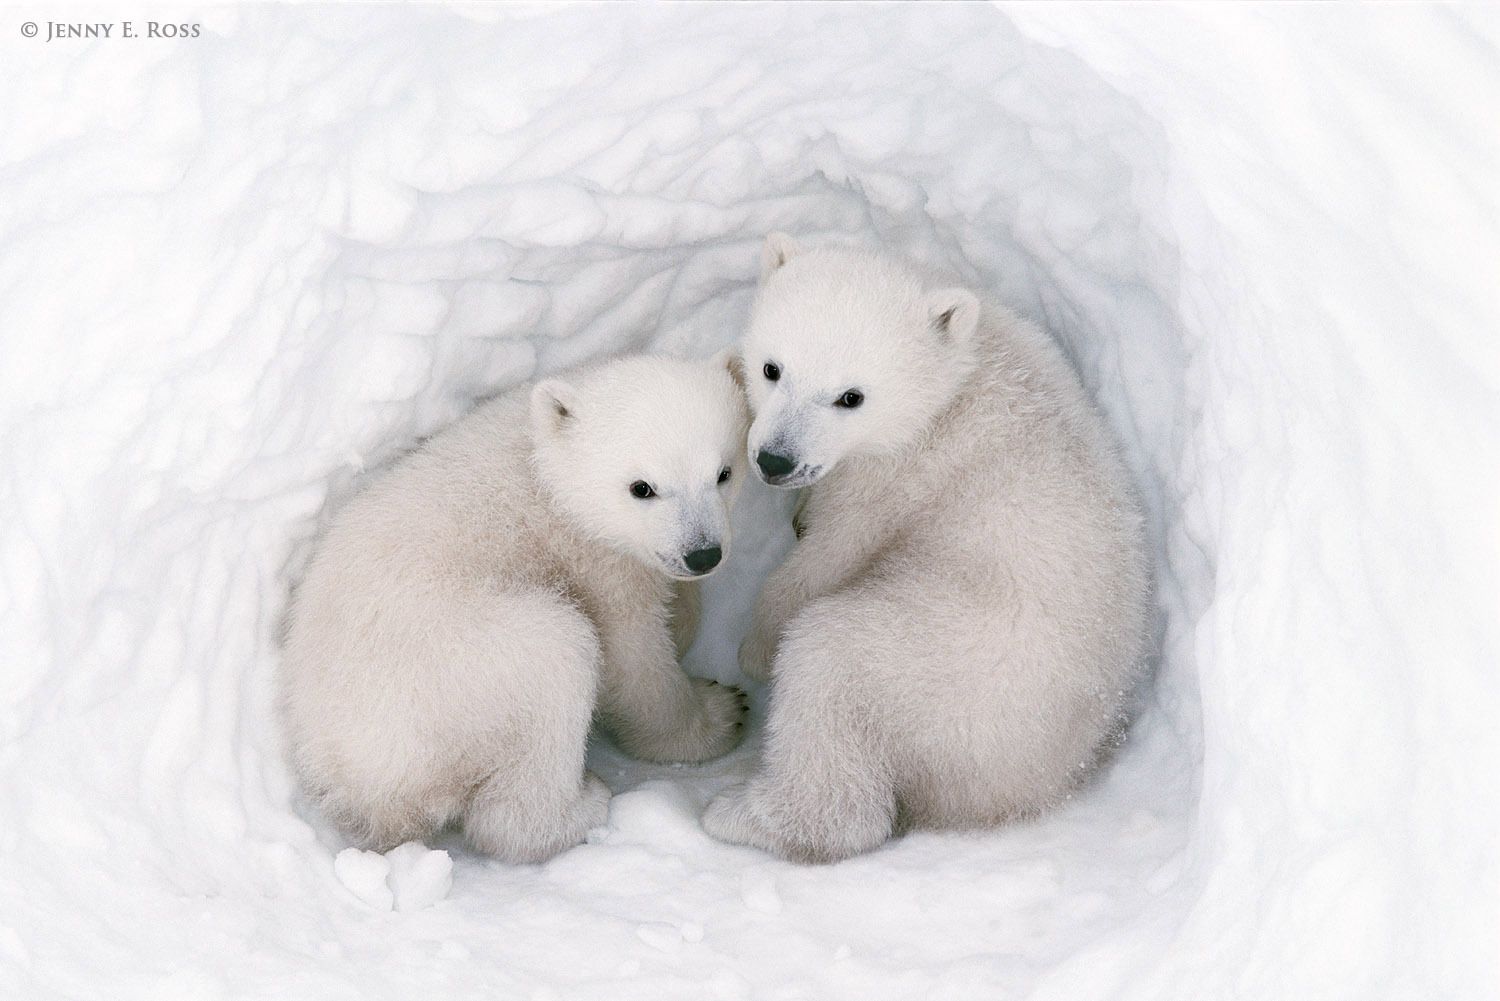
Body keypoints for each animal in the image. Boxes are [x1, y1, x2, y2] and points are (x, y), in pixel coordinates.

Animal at [280, 353, 751, 863]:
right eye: (642, 487)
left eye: (723, 473)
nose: (702, 554)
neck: (547, 469)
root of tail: (356, 786)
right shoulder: (589, 559)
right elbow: (632, 659)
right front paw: (720, 712)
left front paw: (684, 616)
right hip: (459, 672)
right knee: (557, 658)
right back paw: (579, 806)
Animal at [702, 235, 1152, 863]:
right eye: (772, 368)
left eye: (851, 396)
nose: (775, 460)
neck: (955, 384)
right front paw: (800, 514)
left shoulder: (902, 475)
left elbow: (833, 554)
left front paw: (756, 648)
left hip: (951, 668)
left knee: (831, 663)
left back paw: (742, 816)